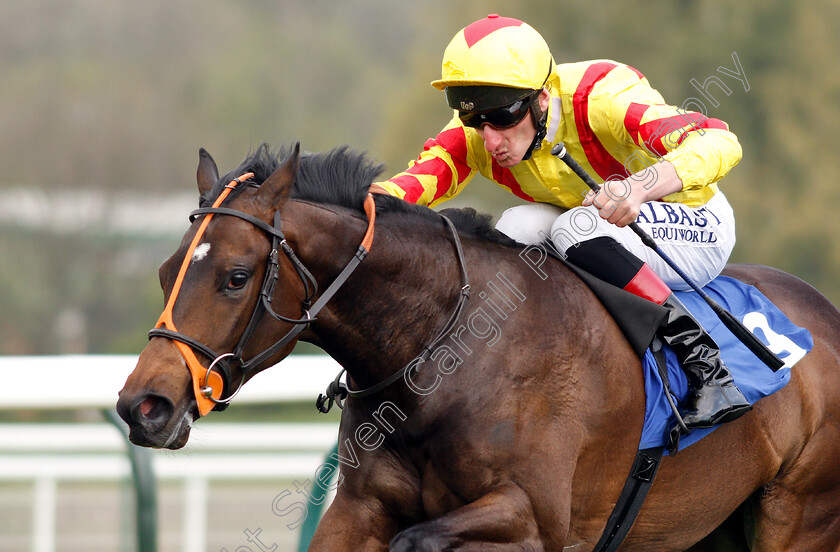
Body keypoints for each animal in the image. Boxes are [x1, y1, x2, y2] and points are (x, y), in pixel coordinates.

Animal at [116, 144, 840, 548]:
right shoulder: (359, 508)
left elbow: (418, 541)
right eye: (166, 271)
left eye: (236, 277)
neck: (447, 358)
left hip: (798, 516)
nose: (143, 406)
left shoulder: (534, 519)